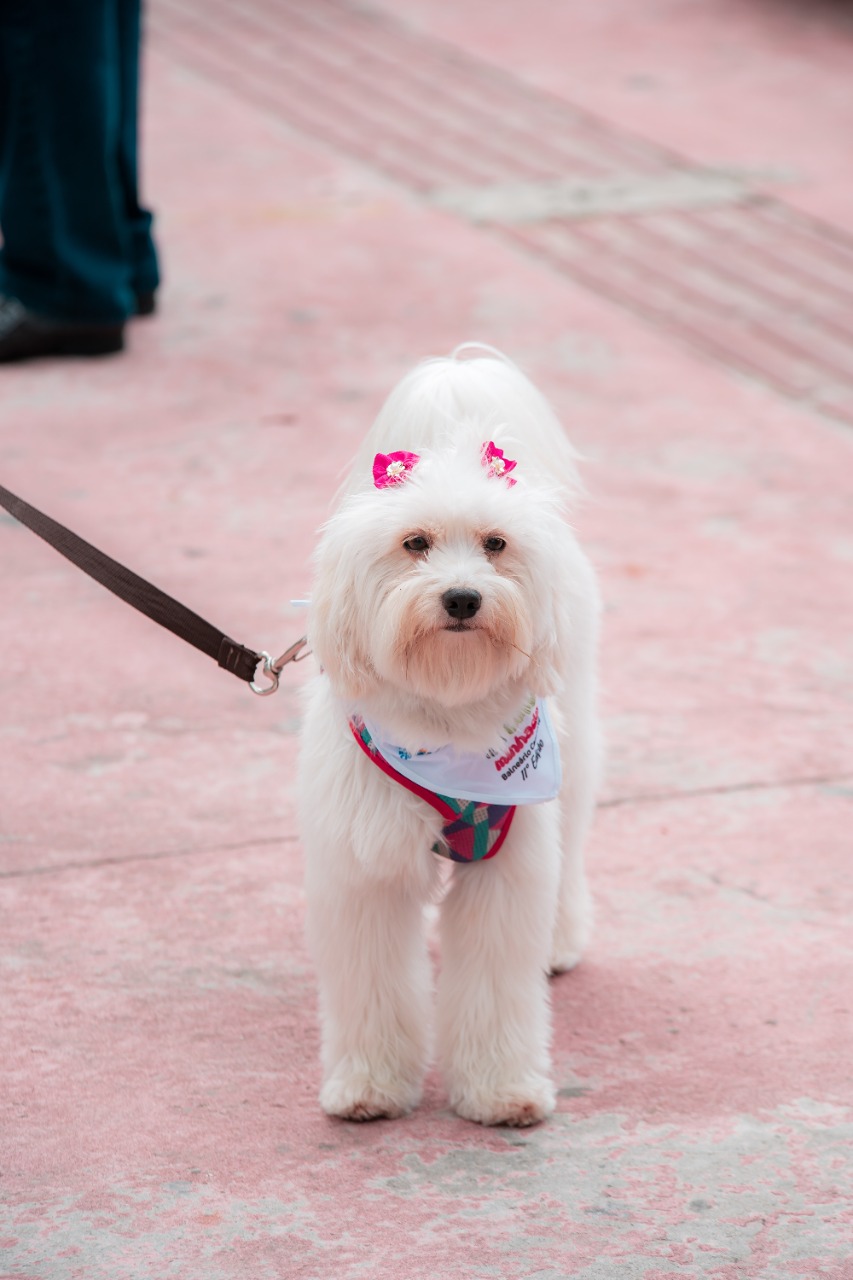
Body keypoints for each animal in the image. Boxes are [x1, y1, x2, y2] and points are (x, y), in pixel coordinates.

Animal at [297, 345, 596, 1126]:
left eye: (494, 544)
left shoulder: (505, 866)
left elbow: (495, 985)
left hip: (574, 759)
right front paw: (369, 1085)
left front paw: (500, 1089)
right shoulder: (367, 867)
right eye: (415, 544)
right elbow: (372, 982)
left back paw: (557, 942)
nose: (461, 597)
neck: (446, 715)